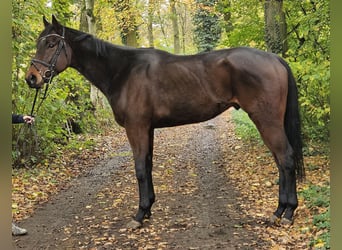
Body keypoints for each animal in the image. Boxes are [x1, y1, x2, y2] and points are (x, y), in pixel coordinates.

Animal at [26, 14, 304, 228]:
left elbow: (139, 169)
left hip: (266, 121)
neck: (123, 71)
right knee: (281, 162)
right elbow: (148, 165)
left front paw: (139, 215)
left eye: (52, 43)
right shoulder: (147, 129)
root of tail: (275, 59)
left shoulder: (136, 128)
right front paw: (148, 208)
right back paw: (279, 211)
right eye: (39, 42)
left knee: (286, 159)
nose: (31, 78)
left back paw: (287, 213)